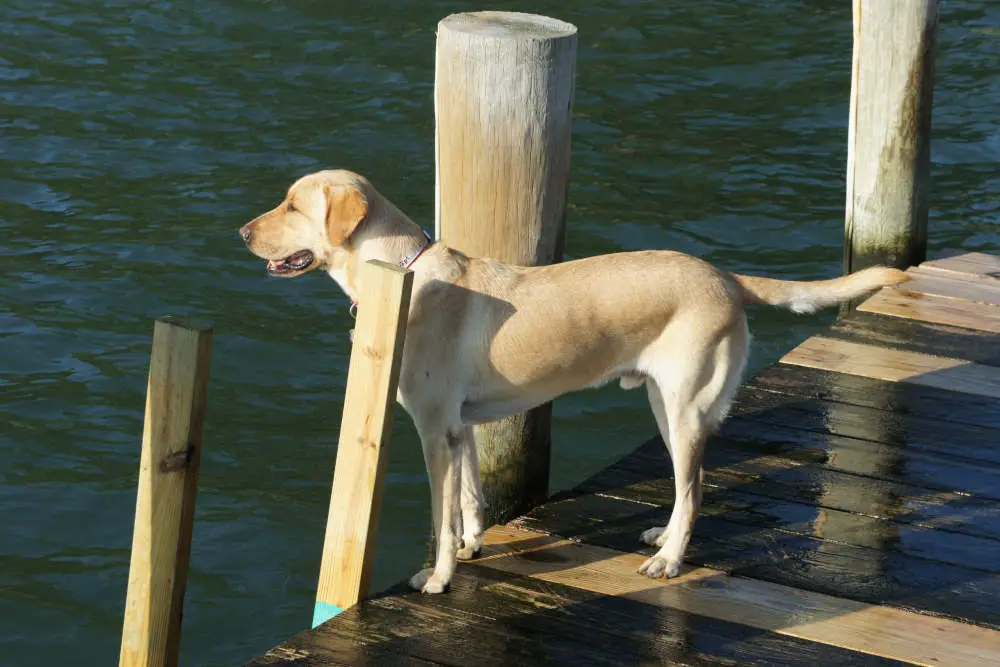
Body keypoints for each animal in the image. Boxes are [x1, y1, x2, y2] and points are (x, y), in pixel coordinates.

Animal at [240, 171, 908, 596]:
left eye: (293, 206)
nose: (242, 232)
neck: (401, 274)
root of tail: (724, 276)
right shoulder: (461, 430)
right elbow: (470, 501)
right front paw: (472, 547)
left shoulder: (433, 432)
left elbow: (440, 517)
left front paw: (439, 578)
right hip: (663, 405)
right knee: (683, 487)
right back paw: (661, 536)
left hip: (685, 407)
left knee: (695, 490)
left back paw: (669, 560)